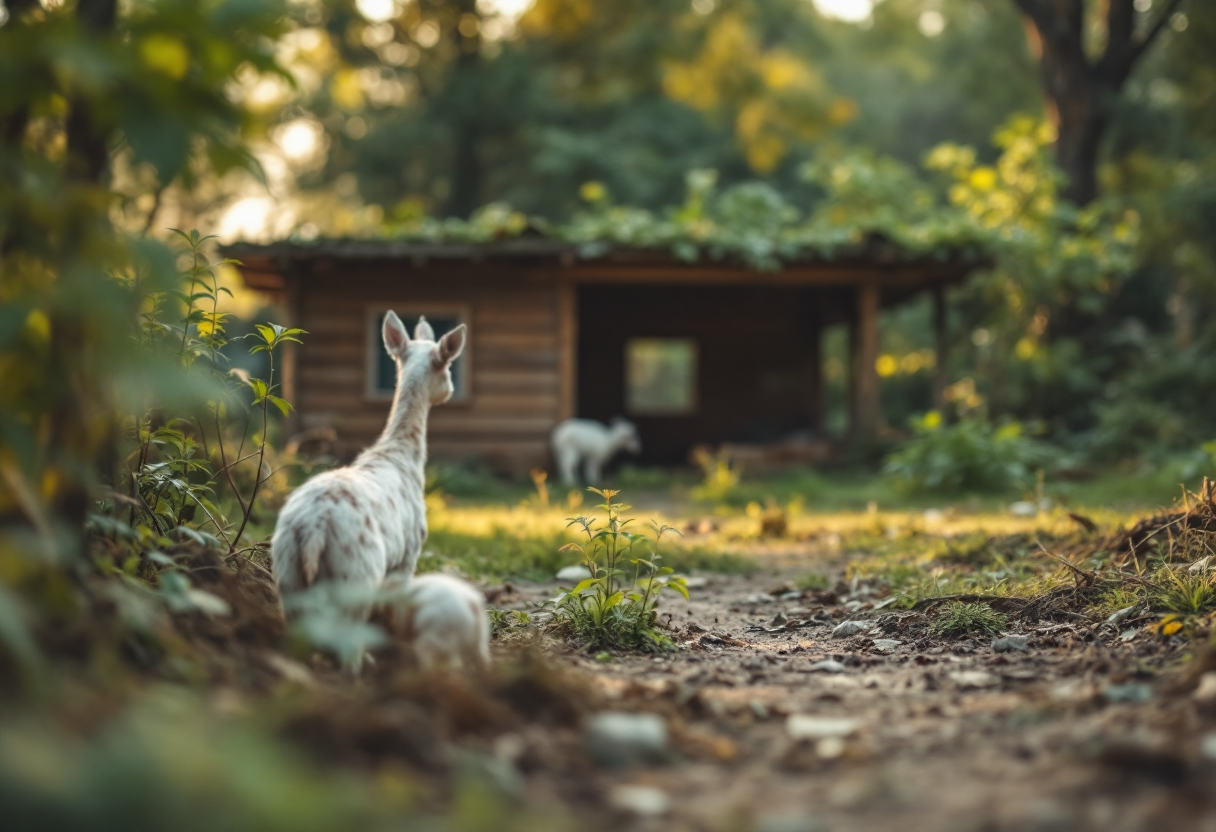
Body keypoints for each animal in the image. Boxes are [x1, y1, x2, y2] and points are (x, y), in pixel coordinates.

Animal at [271, 311, 464, 671]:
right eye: (447, 367)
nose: (451, 389)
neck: (402, 456)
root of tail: (314, 530)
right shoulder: (408, 555)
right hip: (358, 572)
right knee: (349, 644)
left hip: (287, 576)